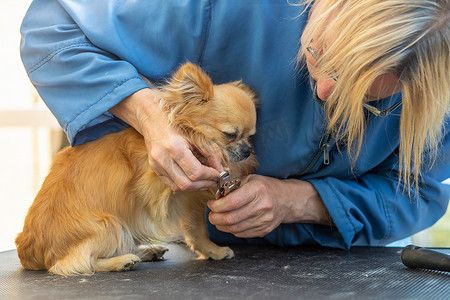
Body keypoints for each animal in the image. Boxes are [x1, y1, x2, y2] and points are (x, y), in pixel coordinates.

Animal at [16, 63, 256, 276]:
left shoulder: (190, 201)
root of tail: (27, 249)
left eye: (250, 136)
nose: (247, 150)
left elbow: (196, 230)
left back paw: (148, 251)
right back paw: (122, 261)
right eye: (230, 134)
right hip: (111, 225)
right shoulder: (164, 188)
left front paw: (211, 250)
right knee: (74, 264)